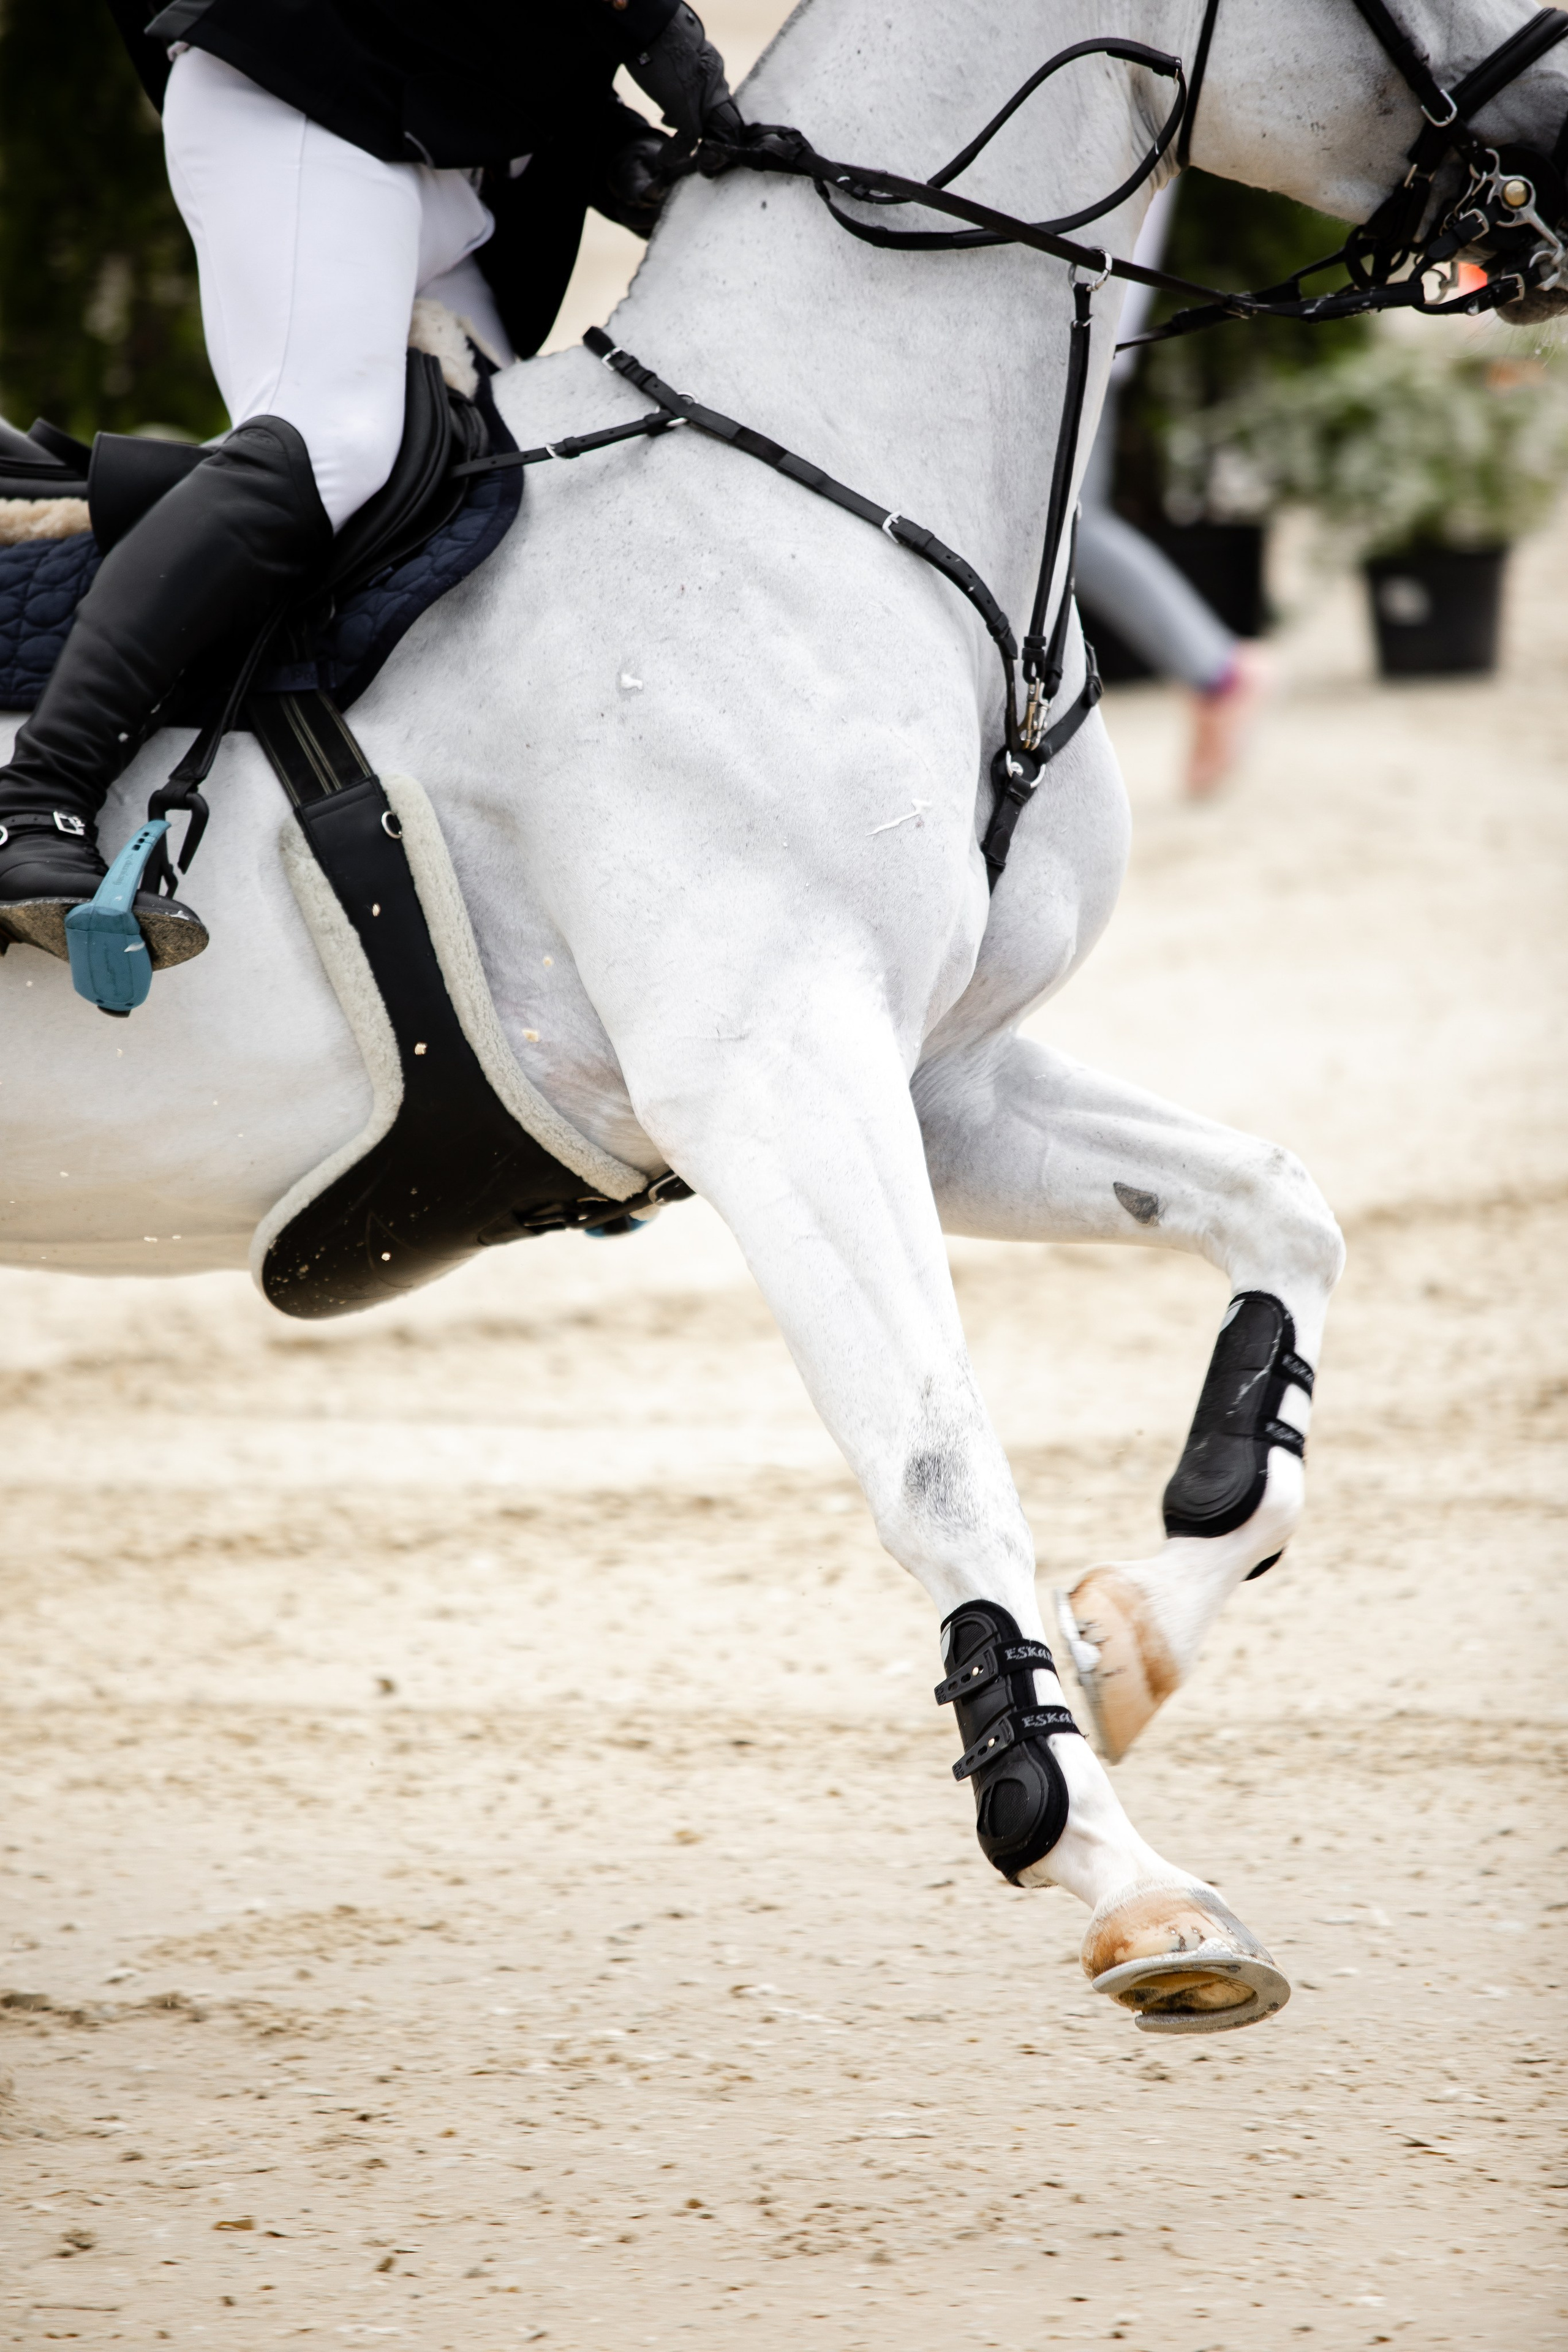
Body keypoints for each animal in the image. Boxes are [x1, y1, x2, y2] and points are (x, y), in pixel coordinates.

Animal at [5, 0, 1561, 2030]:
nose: (1559, 153)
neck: (816, 491)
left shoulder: (938, 1075)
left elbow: (1280, 1214)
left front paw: (1133, 1631)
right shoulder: (776, 1080)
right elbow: (936, 1454)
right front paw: (1107, 1863)